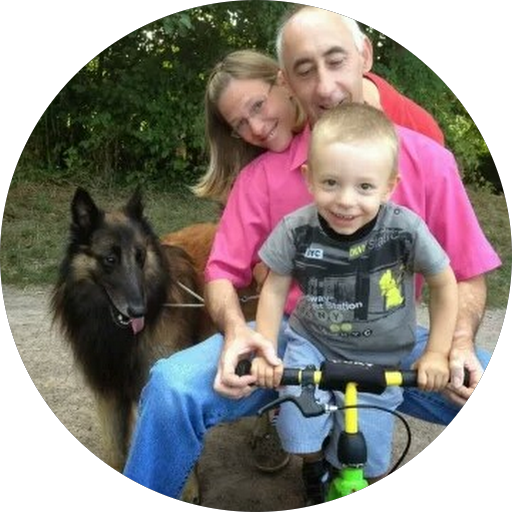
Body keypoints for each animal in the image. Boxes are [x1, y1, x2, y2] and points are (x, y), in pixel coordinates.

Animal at [51, 187, 258, 501]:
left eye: (140, 257)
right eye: (109, 259)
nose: (139, 310)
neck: (119, 336)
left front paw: (190, 492)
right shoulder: (108, 393)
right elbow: (115, 452)